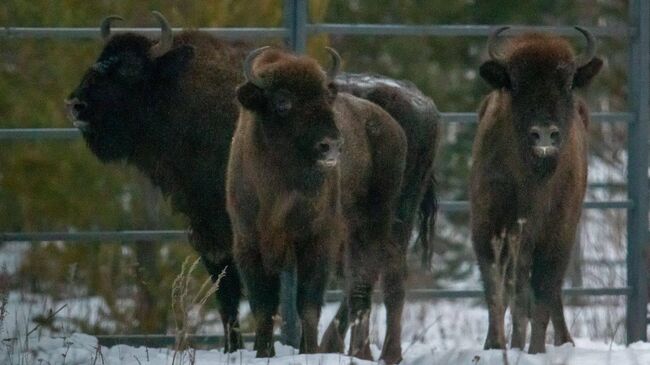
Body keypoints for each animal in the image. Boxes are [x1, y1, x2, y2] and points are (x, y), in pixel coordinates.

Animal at [64, 12, 249, 352]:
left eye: (130, 69)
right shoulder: (207, 234)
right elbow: (226, 296)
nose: (77, 105)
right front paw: (233, 349)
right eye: (100, 59)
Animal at [224, 46, 404, 362]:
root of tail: (392, 127)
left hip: (372, 226)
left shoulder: (316, 241)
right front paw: (263, 352)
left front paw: (308, 351)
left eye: (324, 96)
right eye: (283, 101)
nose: (331, 145)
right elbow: (263, 306)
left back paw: (367, 354)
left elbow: (307, 303)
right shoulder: (248, 244)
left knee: (363, 286)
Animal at [468, 26, 600, 352]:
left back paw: (565, 341)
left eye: (567, 83)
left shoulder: (557, 236)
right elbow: (499, 293)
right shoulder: (488, 229)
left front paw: (535, 350)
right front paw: (497, 346)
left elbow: (541, 296)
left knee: (550, 295)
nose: (544, 135)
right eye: (515, 83)